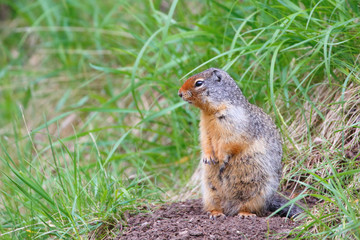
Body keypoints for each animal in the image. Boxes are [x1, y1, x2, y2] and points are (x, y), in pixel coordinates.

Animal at [179, 67, 302, 219]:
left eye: (199, 83)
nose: (179, 93)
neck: (210, 113)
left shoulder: (234, 123)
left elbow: (230, 142)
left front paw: (221, 159)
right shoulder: (204, 128)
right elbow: (206, 142)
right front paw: (208, 157)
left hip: (258, 192)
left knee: (249, 207)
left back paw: (245, 214)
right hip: (210, 192)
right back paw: (216, 213)